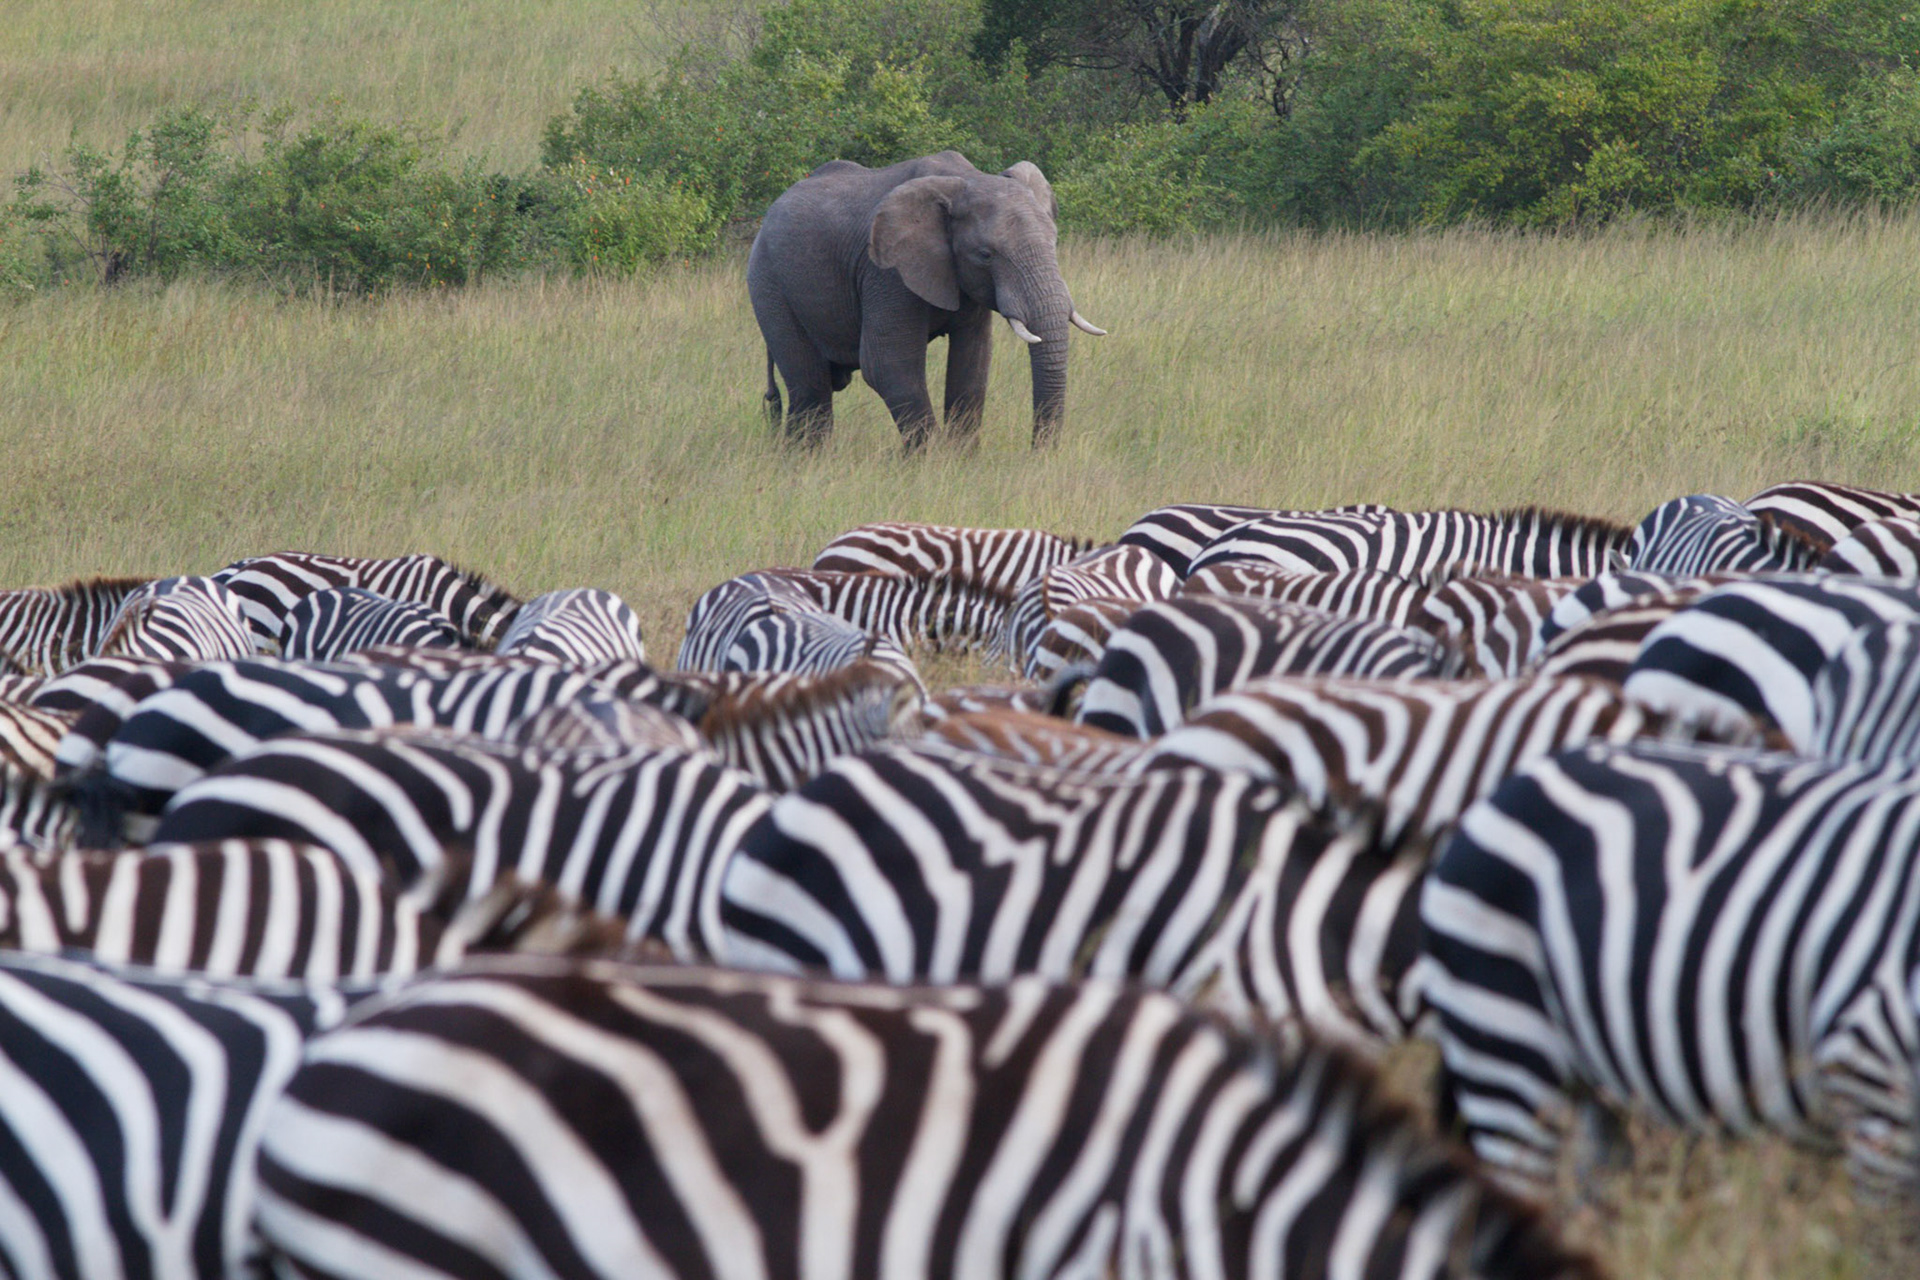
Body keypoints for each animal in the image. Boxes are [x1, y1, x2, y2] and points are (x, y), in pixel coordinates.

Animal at [747, 150, 1105, 448]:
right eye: (985, 255)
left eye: (1054, 242)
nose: (1037, 453)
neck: (966, 180)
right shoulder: (885, 271)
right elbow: (888, 365)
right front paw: (929, 464)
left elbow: (972, 364)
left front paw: (961, 462)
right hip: (769, 285)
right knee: (810, 386)